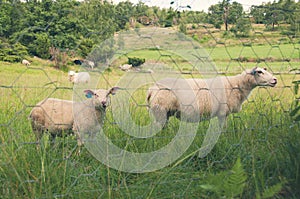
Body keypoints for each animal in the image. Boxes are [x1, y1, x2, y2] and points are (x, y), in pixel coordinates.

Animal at [146, 66, 278, 126]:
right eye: (259, 72)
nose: (275, 80)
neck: (236, 84)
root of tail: (152, 89)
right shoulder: (222, 113)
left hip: (165, 113)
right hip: (160, 111)